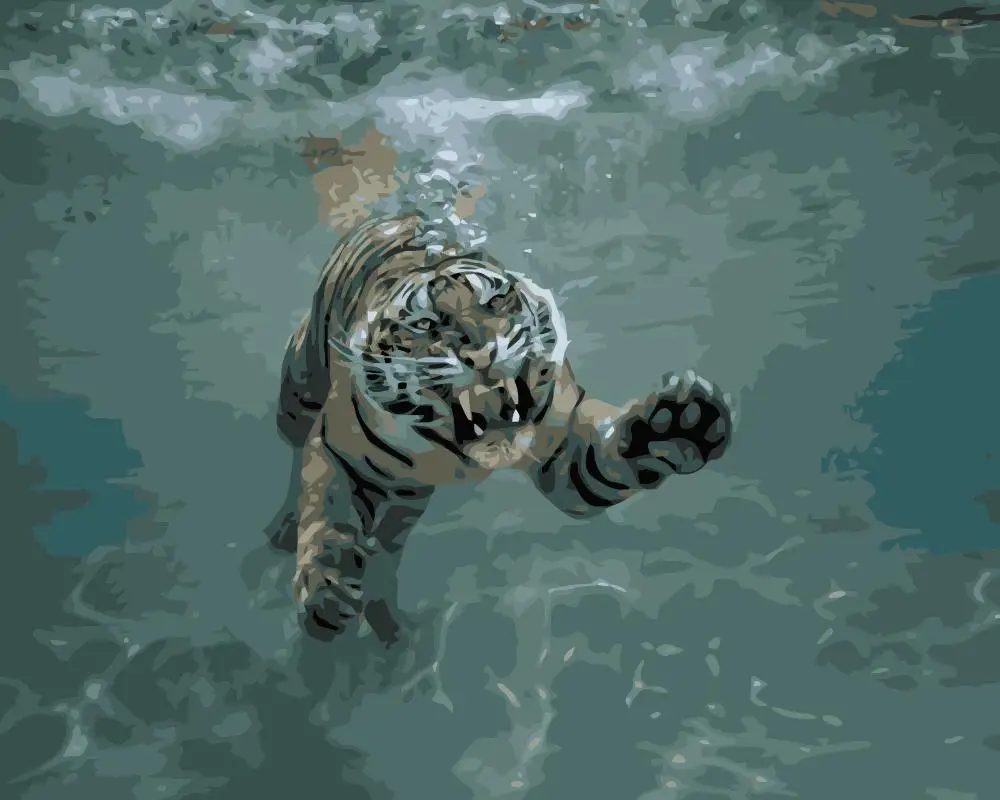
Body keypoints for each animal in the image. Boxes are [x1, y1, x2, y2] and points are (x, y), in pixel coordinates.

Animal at [267, 215, 734, 641]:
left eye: (494, 302)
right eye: (426, 325)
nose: (482, 351)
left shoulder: (565, 446)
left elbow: (610, 458)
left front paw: (680, 427)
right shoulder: (339, 450)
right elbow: (328, 513)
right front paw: (327, 588)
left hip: (408, 495)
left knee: (389, 541)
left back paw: (390, 625)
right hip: (299, 388)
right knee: (295, 459)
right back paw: (284, 532)